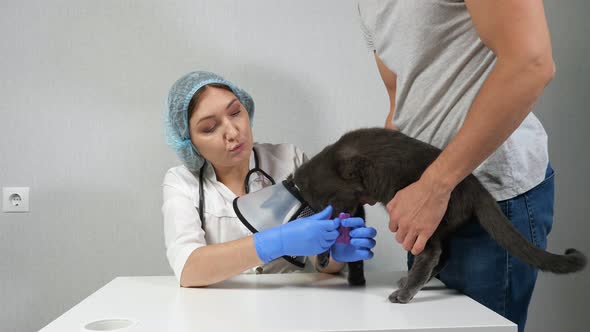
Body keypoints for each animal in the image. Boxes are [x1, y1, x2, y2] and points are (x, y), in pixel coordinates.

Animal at [294, 127, 588, 304]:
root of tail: (475, 186)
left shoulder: (344, 197)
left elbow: (334, 220)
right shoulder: (355, 205)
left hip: (421, 216)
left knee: (431, 252)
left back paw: (404, 293)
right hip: (441, 223)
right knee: (443, 254)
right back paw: (412, 282)